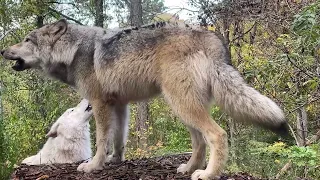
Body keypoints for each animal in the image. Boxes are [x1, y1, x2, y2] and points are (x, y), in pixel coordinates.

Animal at [1, 19, 288, 180]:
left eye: (26, 39)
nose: (3, 50)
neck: (74, 50)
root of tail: (212, 38)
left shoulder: (100, 103)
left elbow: (102, 139)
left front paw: (93, 166)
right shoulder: (120, 104)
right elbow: (119, 139)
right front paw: (114, 161)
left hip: (181, 104)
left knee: (217, 135)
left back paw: (207, 174)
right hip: (183, 106)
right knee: (199, 142)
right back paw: (188, 168)